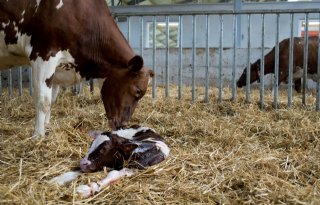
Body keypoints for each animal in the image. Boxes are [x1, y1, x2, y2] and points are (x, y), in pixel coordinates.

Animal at [0, 0, 155, 138]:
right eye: (138, 90)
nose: (124, 125)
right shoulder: (43, 55)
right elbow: (43, 100)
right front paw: (38, 135)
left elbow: (52, 99)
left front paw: (47, 126)